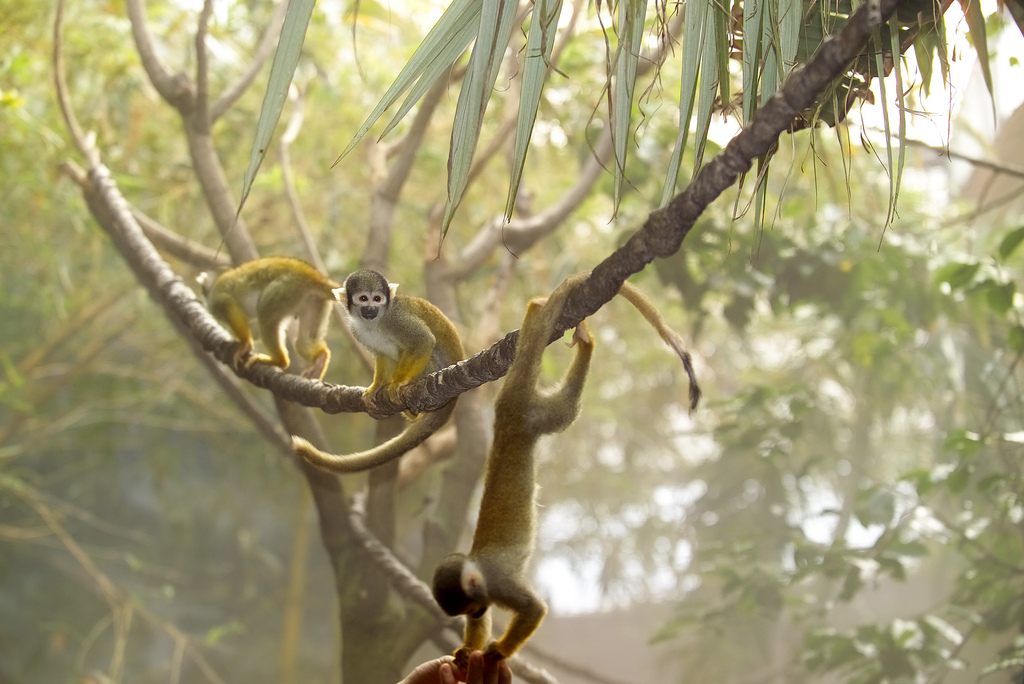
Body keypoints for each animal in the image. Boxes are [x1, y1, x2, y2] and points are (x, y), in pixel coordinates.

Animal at [197, 254, 342, 378]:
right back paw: (320, 359)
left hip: (286, 289)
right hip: (315, 303)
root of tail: (313, 275)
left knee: (264, 314)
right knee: (302, 341)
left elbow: (228, 304)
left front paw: (244, 343)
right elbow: (255, 330)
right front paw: (238, 340)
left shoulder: (216, 296)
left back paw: (280, 361)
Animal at [288, 270, 464, 473]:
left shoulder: (397, 318)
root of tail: (453, 400)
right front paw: (376, 387)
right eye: (363, 298)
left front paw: (398, 383)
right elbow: (382, 355)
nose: (371, 308)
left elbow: (423, 341)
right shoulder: (357, 330)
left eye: (377, 298)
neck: (377, 321)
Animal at [430, 274, 593, 667]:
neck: (477, 571)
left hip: (533, 415)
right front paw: (467, 650)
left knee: (565, 410)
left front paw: (496, 654)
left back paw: (586, 348)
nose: (474, 612)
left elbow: (534, 609)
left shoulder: (498, 585)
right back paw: (543, 315)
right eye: (467, 611)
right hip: (516, 408)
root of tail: (508, 408)